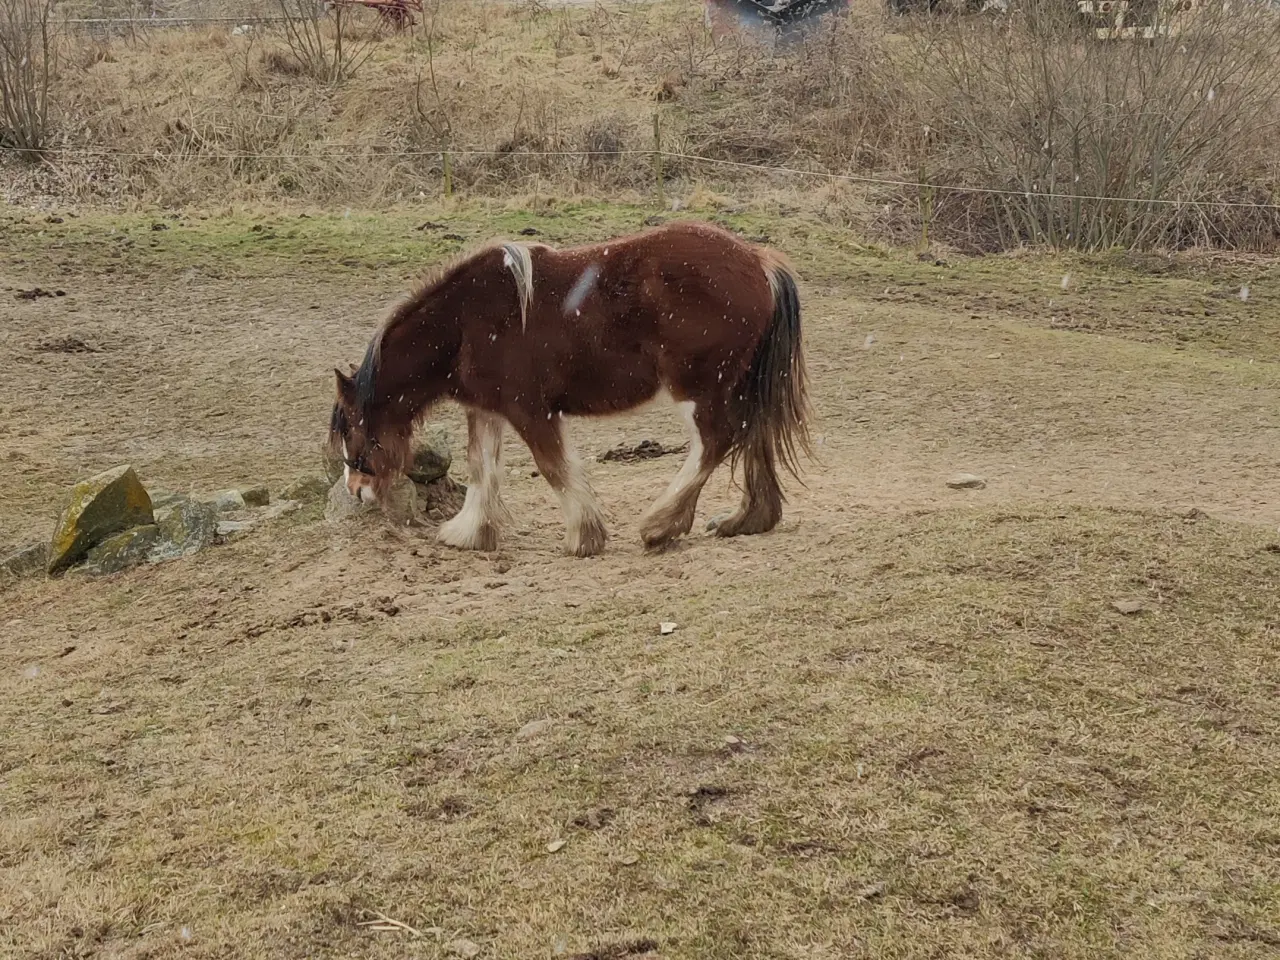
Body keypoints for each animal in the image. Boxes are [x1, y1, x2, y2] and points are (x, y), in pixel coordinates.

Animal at [327, 220, 808, 555]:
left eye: (351, 425)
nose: (357, 490)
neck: (465, 322)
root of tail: (759, 262)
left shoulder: (530, 410)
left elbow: (554, 468)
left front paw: (584, 537)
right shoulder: (487, 410)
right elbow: (481, 467)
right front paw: (469, 533)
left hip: (699, 388)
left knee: (715, 441)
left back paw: (660, 525)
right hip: (742, 384)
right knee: (752, 434)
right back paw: (746, 520)